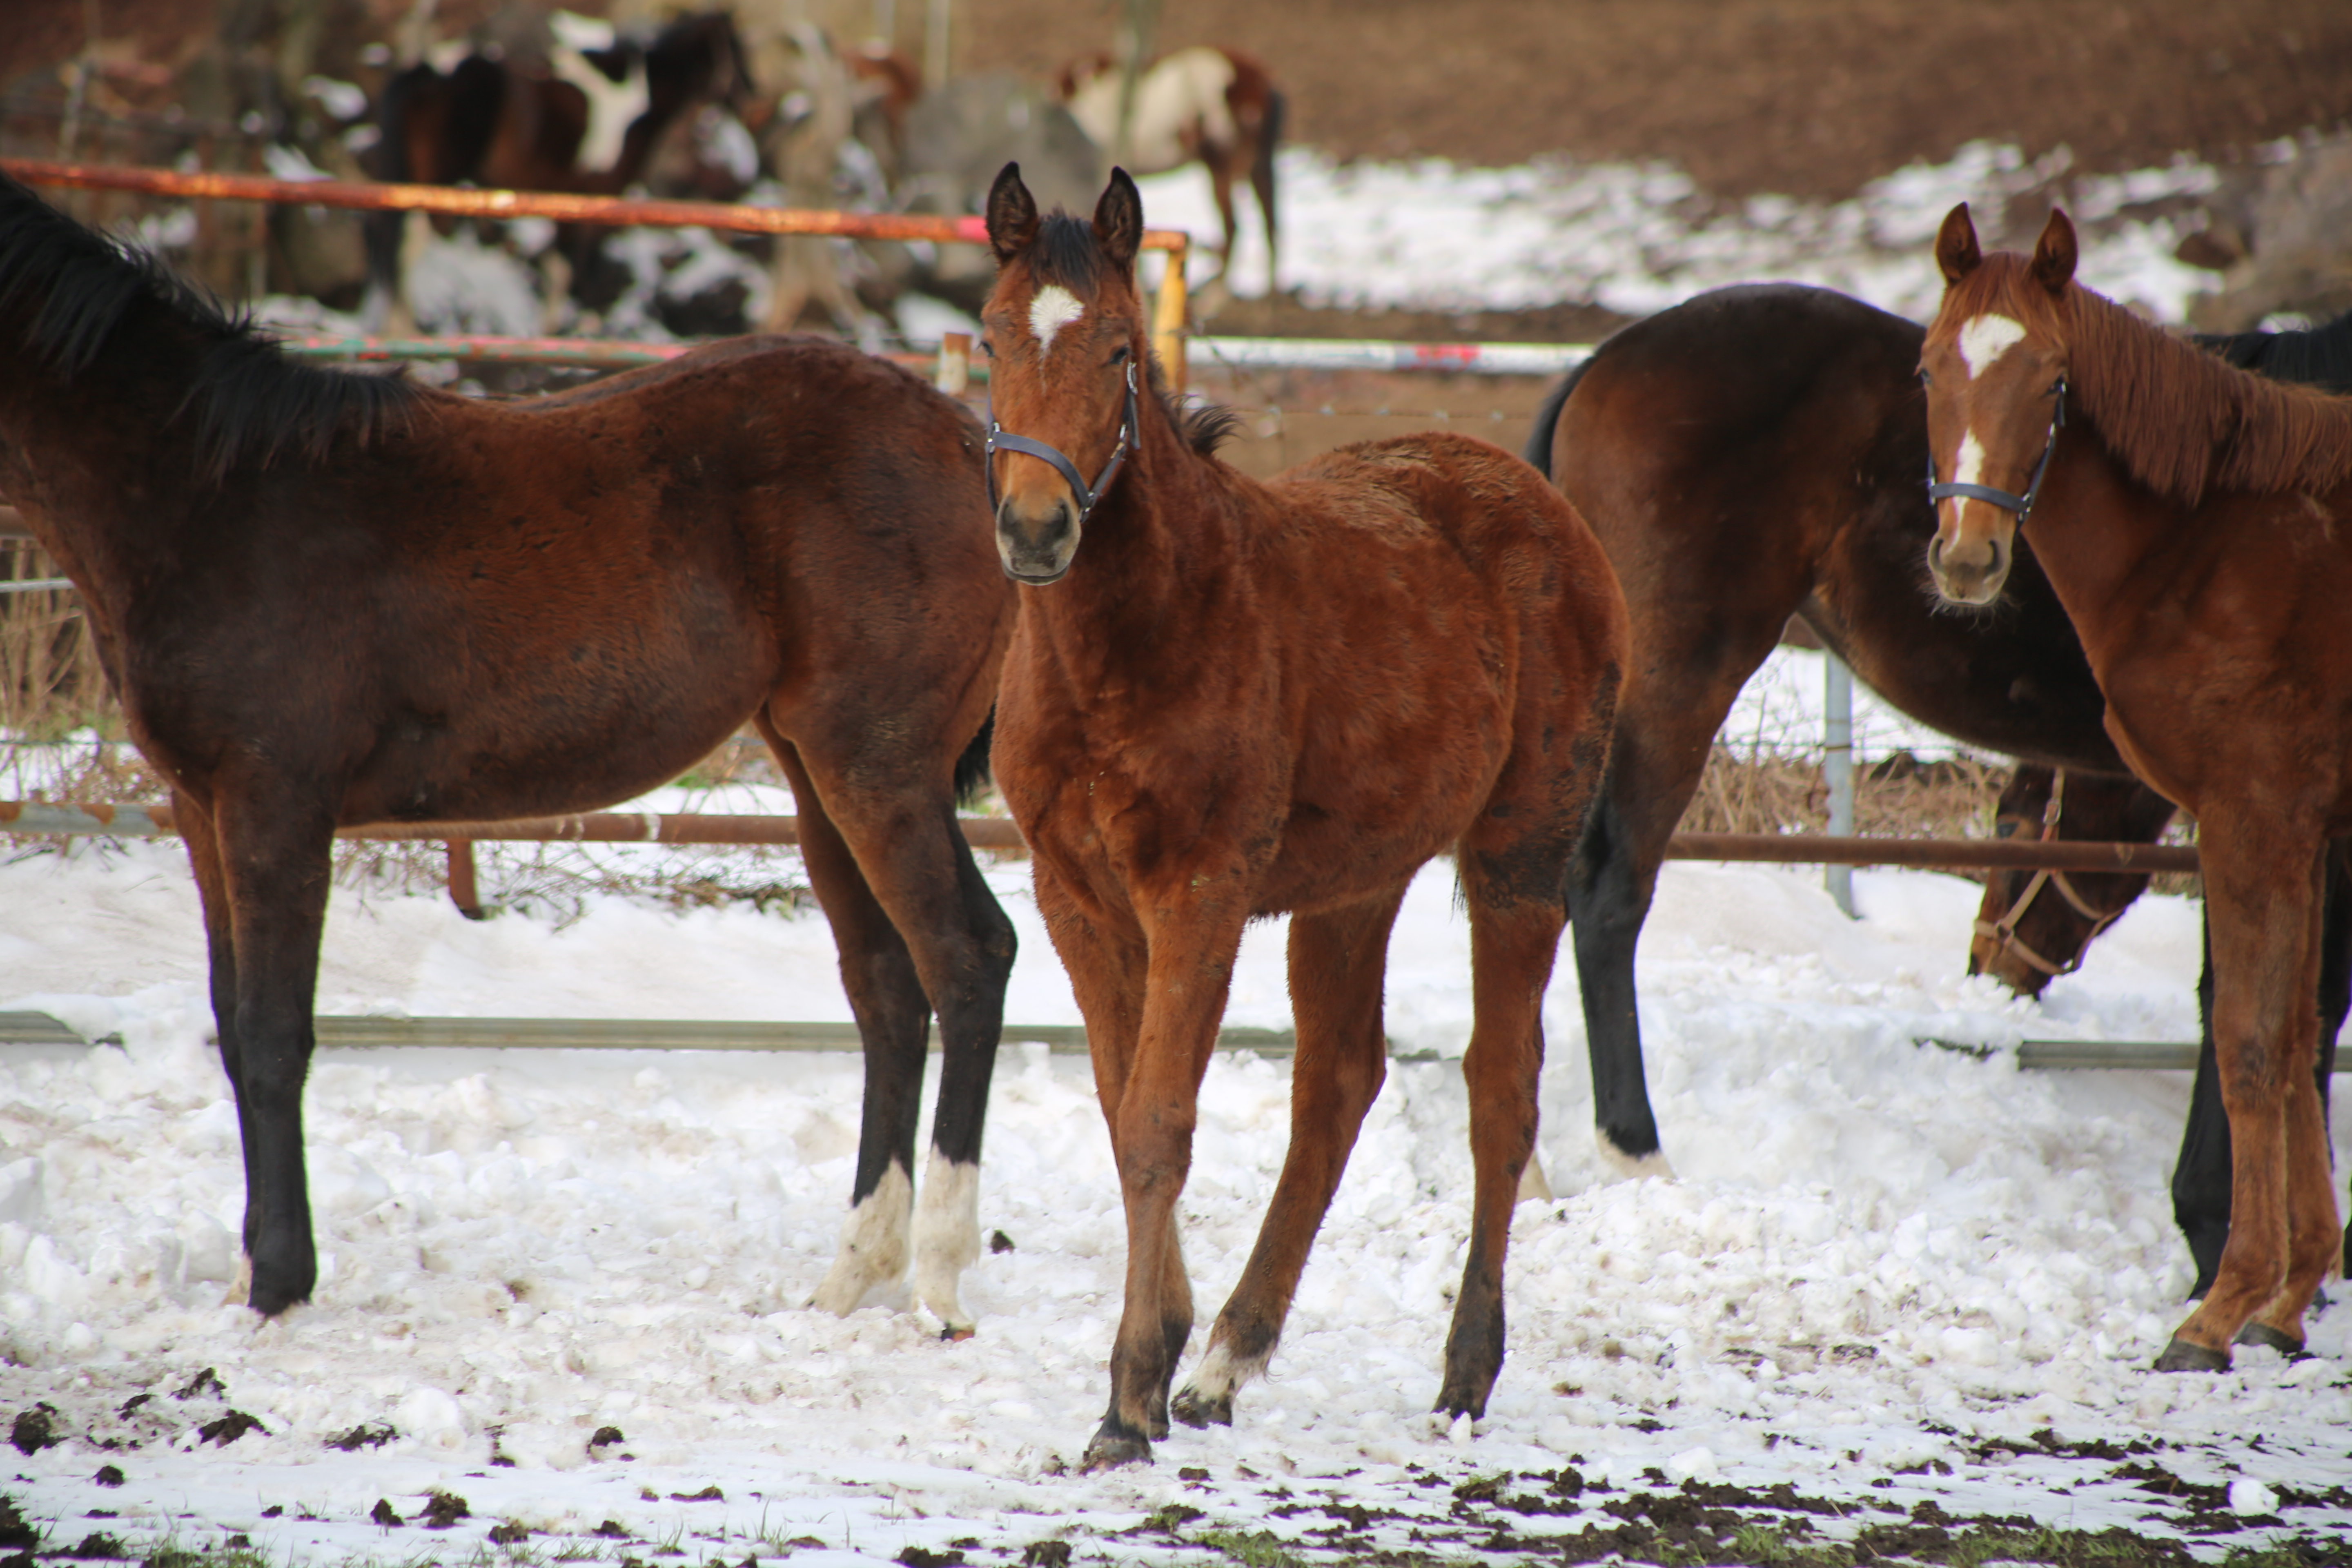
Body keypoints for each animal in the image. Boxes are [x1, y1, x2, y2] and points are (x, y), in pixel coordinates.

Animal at [2, 172, 1030, 1345]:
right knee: (889, 989)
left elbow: (273, 1035)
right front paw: (253, 1275)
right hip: (818, 773)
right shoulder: (202, 810)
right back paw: (852, 1274)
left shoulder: (274, 805)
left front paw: (278, 1283)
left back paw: (939, 1279)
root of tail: (969, 444)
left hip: (877, 768)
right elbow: (231, 1020)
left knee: (966, 958)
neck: (207, 498)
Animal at [973, 169, 1618, 1476]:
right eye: (990, 341)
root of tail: (1541, 502)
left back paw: (1465, 1370)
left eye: (1118, 351)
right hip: (1354, 883)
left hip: (1518, 857)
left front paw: (1126, 1397)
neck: (1134, 640)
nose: (1036, 530)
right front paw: (1166, 1359)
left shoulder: (1201, 888)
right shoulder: (1076, 894)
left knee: (1500, 1087)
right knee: (1337, 1081)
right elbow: (1123, 1107)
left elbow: (1159, 1121)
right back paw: (1229, 1357)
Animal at [1524, 282, 2352, 1297]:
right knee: (1608, 895)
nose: (1988, 962)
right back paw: (1635, 1154)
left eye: (2012, 815)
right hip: (1677, 674)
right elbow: (2276, 1006)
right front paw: (2237, 1243)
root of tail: (1602, 364)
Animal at [1919, 202, 2352, 1363]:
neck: (2213, 543)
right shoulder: (2307, 832)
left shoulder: (2251, 820)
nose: (1968, 559)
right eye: (1929, 368)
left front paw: (2221, 1306)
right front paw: (2289, 1298)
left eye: (2052, 380)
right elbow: (2297, 1035)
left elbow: (2247, 1041)